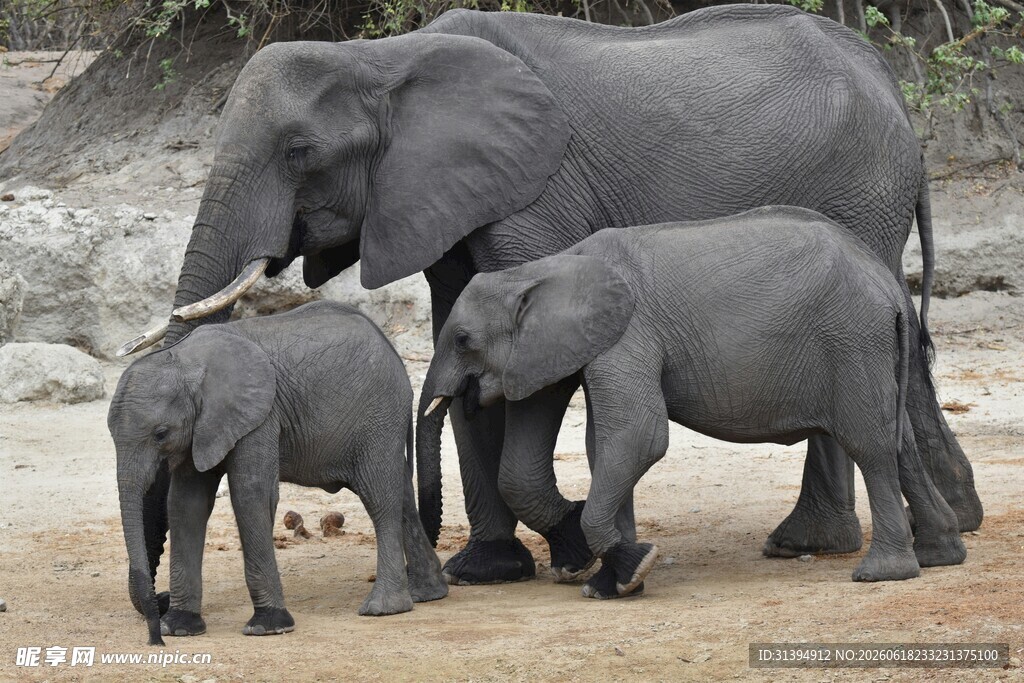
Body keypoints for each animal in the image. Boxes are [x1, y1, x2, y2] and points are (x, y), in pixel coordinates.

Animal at [108, 302, 447, 646]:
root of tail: (391, 348)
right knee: (400, 494)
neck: (186, 360)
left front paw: (268, 626)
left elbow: (251, 494)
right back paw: (426, 592)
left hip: (379, 414)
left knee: (380, 497)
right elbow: (186, 504)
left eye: (160, 434)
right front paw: (179, 627)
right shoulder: (202, 429)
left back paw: (383, 608)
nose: (155, 638)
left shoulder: (261, 416)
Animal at [418, 207, 968, 597]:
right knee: (897, 442)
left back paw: (883, 574)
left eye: (463, 339)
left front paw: (630, 571)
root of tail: (891, 288)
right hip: (870, 347)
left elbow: (639, 438)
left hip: (852, 340)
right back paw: (940, 556)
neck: (547, 267)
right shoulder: (572, 348)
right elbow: (605, 447)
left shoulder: (630, 333)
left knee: (869, 444)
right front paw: (611, 583)